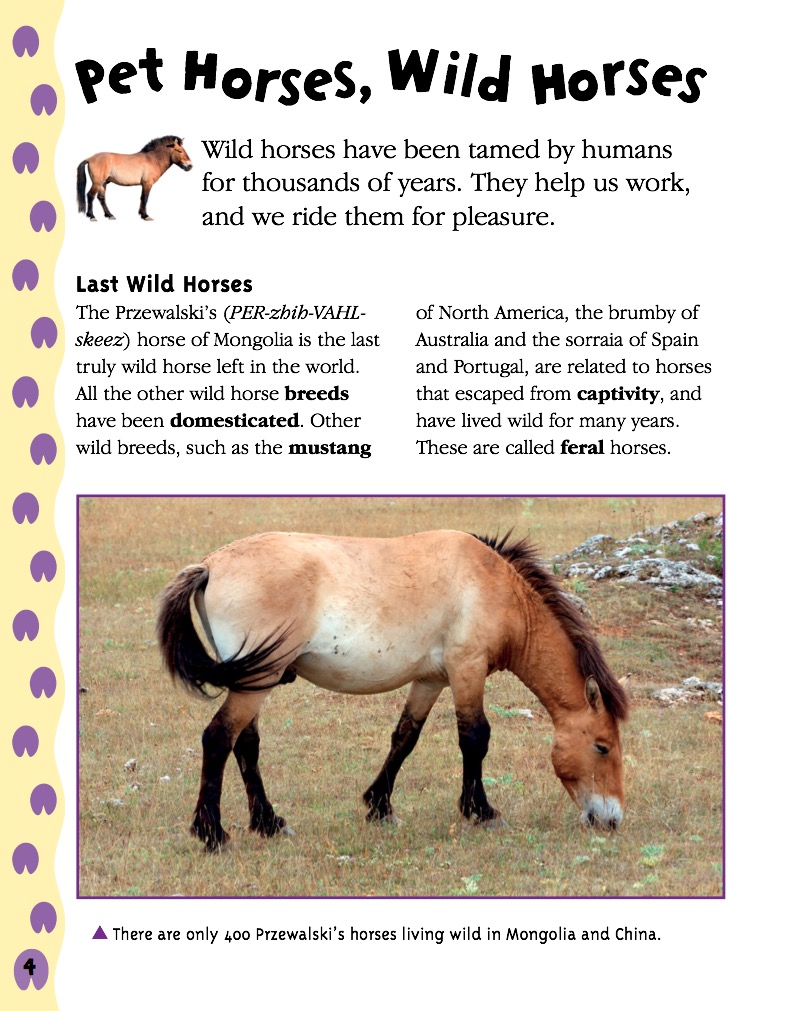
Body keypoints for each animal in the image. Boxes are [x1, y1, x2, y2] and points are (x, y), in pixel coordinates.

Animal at [157, 530, 628, 852]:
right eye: (602, 747)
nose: (611, 820)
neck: (494, 585)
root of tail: (210, 565)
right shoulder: (467, 669)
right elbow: (475, 738)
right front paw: (481, 811)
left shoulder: (432, 679)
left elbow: (405, 737)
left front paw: (379, 806)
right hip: (257, 680)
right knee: (219, 739)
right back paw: (212, 833)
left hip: (256, 680)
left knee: (245, 744)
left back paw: (269, 823)